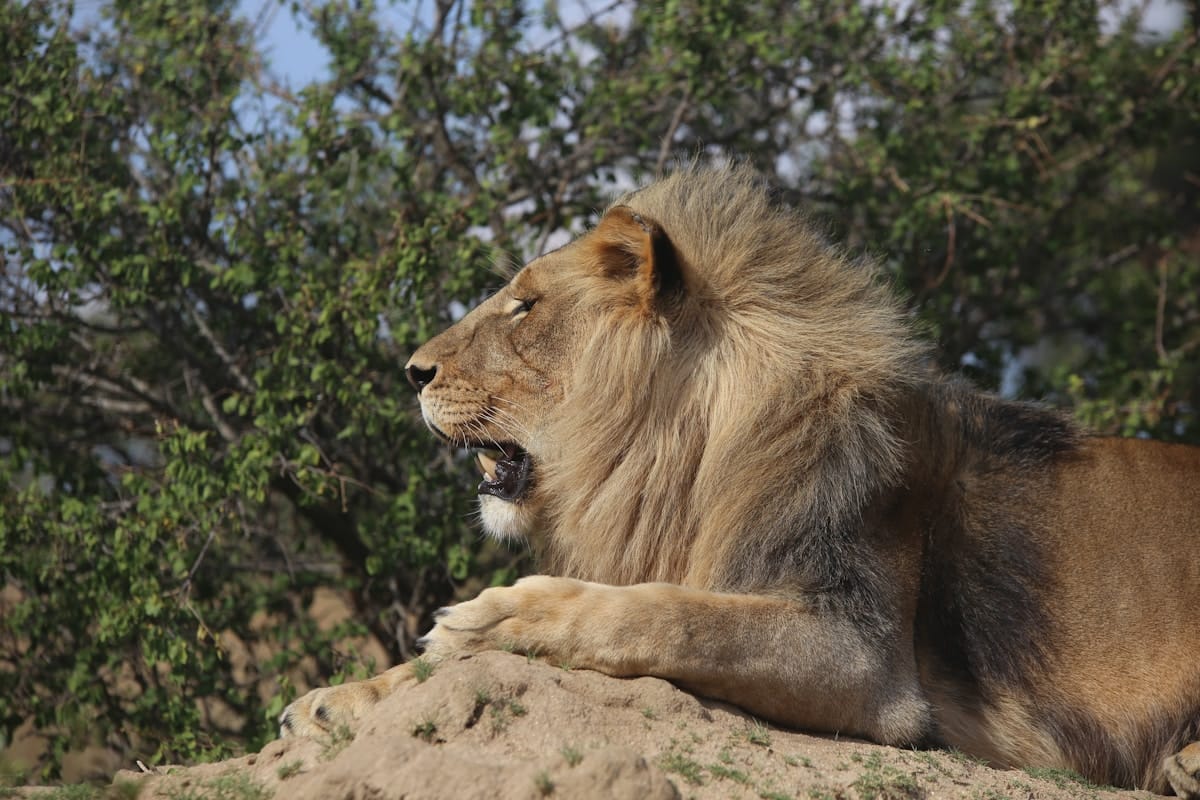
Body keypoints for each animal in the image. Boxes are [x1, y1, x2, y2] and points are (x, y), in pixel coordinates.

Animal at [280, 164, 1200, 796]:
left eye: (524, 307)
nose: (412, 370)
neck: (677, 468)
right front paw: (341, 697)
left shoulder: (864, 657)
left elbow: (670, 615)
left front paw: (494, 616)